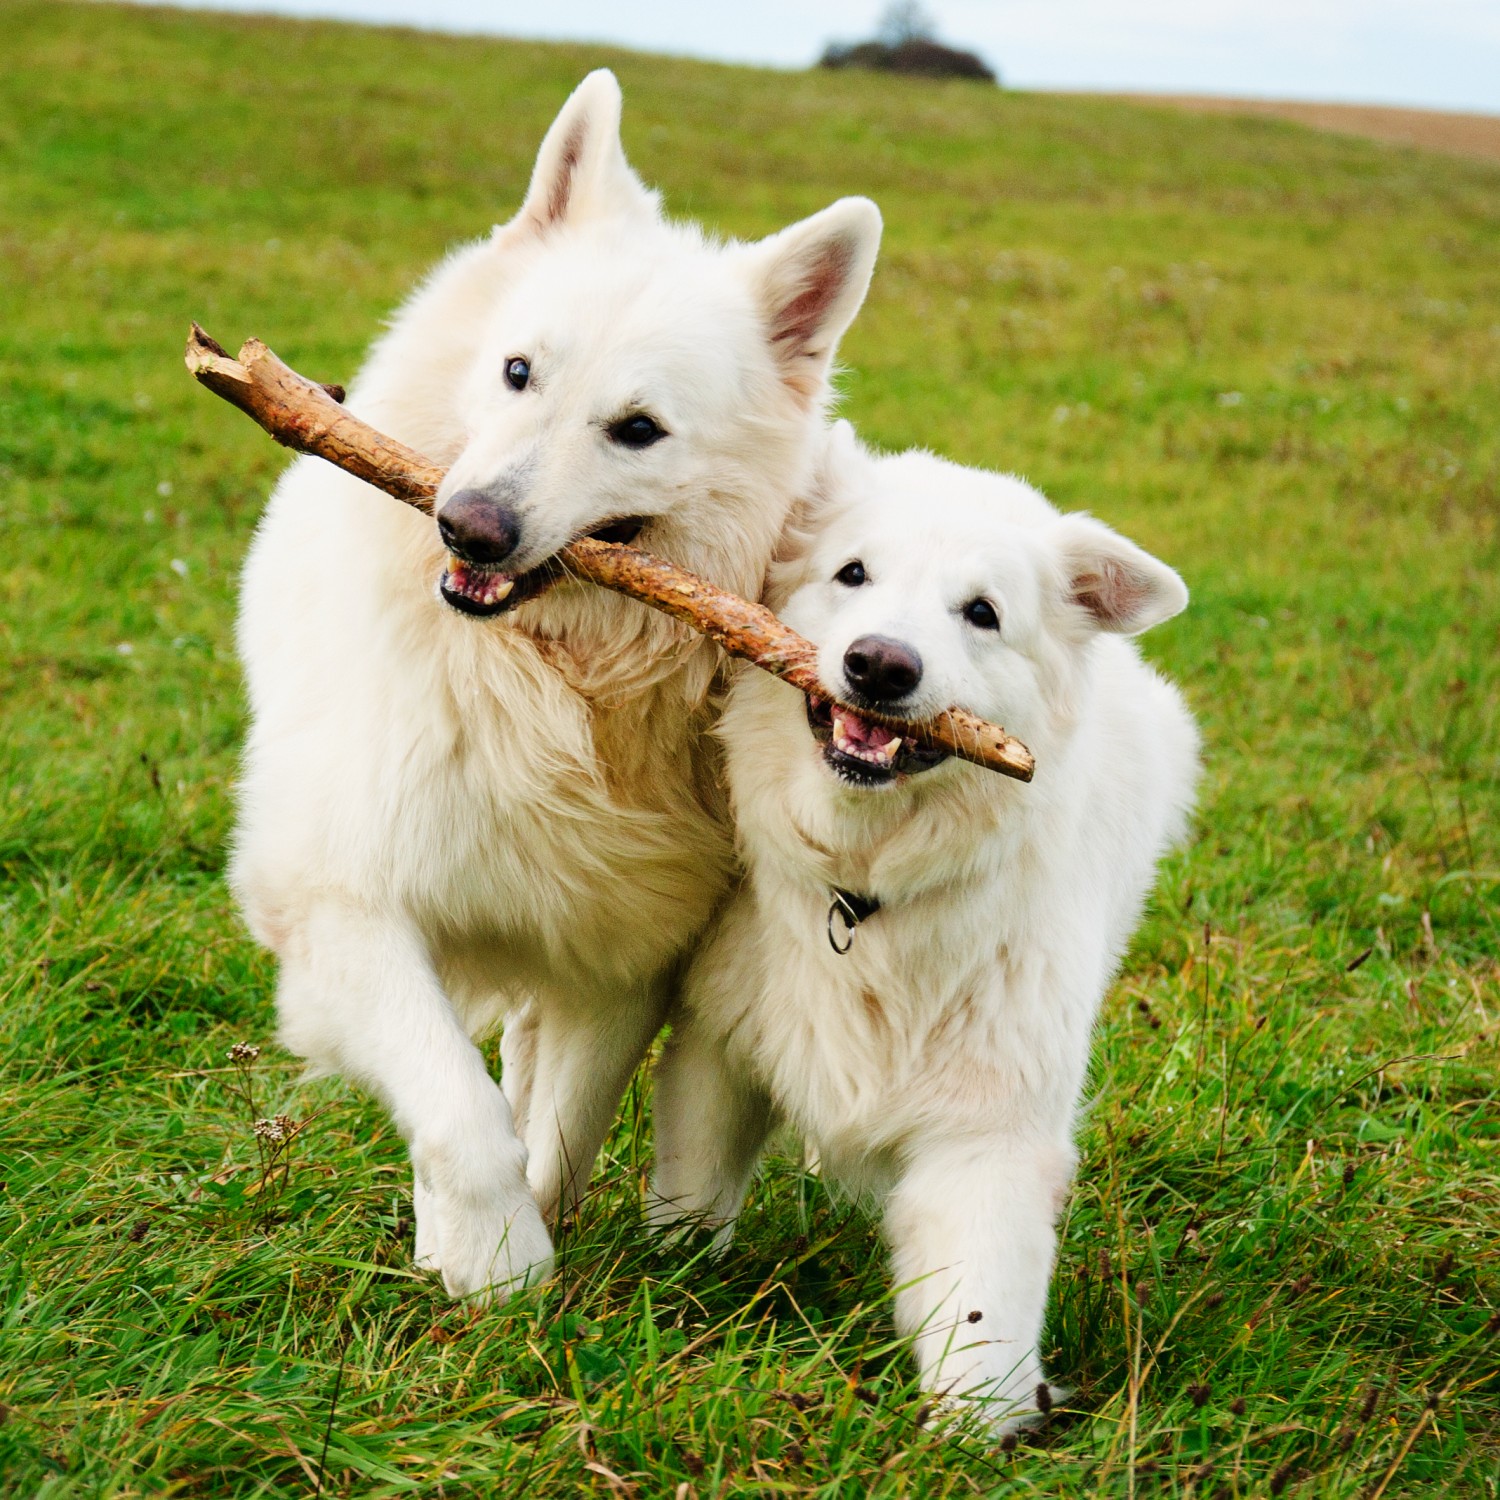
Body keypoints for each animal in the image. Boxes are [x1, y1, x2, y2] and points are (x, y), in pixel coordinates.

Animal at [229, 76, 882, 1302]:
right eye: (518, 372)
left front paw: (515, 1252)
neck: (551, 678)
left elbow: (559, 1126)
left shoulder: (621, 954)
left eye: (637, 430)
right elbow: (457, 1105)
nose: (468, 526)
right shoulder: (344, 903)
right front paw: (493, 1263)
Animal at [651, 426, 1200, 1428]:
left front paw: (977, 1430)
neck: (864, 887)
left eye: (981, 613)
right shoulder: (720, 1045)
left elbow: (980, 1302)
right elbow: (693, 1195)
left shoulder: (990, 1130)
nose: (880, 665)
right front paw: (666, 1279)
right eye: (852, 573)